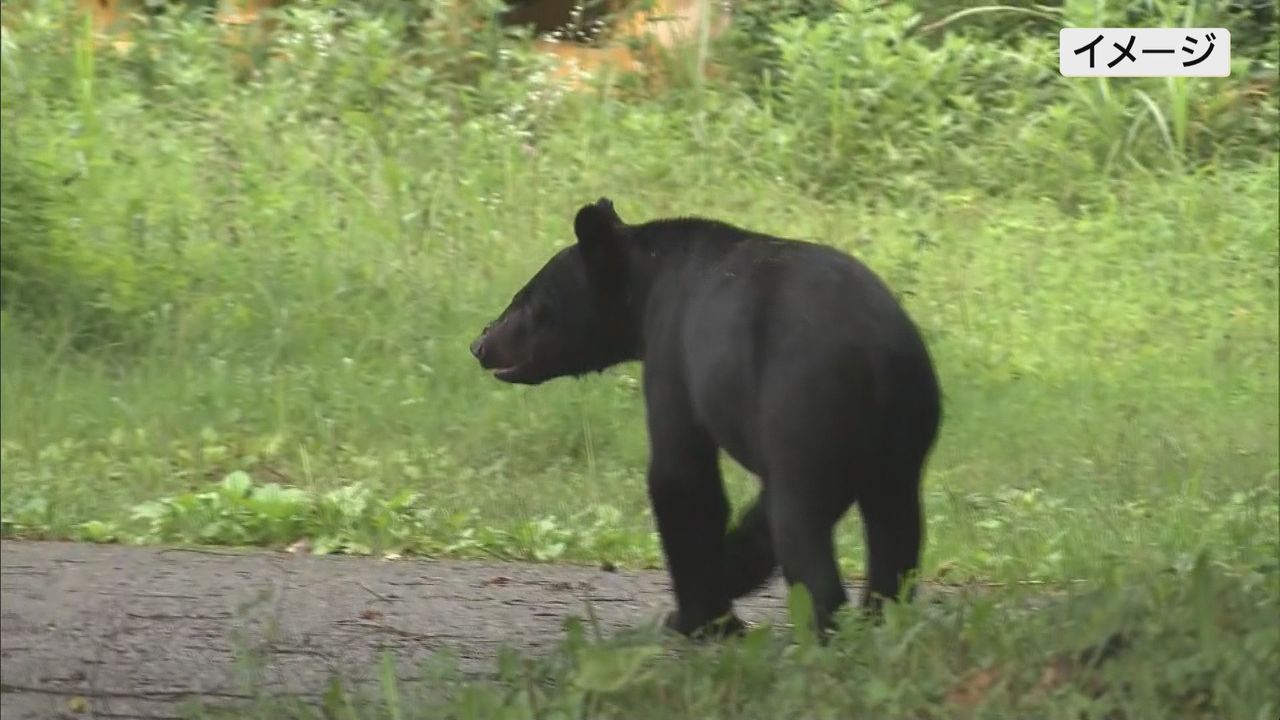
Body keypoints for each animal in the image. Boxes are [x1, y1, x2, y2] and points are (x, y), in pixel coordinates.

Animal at [471, 198, 942, 635]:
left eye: (527, 300)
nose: (480, 344)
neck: (650, 279)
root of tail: (878, 359)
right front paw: (728, 578)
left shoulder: (672, 351)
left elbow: (682, 478)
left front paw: (696, 615)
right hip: (902, 440)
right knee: (895, 533)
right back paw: (881, 620)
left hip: (805, 408)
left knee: (801, 528)